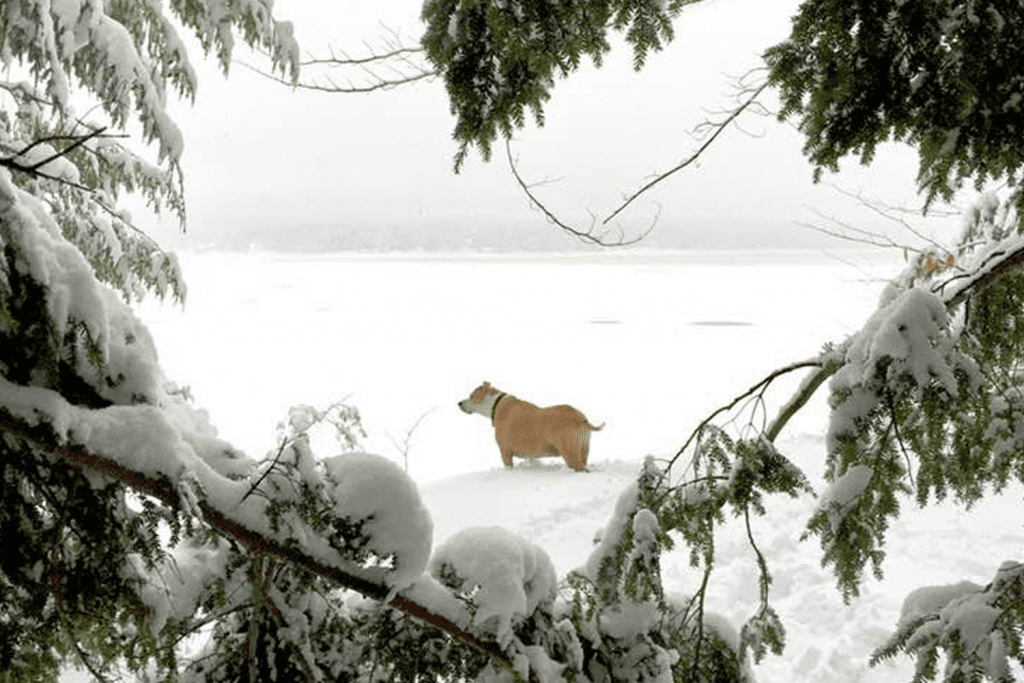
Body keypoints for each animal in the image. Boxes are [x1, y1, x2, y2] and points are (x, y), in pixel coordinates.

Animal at [456, 382, 598, 473]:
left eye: (471, 396)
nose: (459, 403)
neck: (495, 404)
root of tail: (581, 418)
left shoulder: (505, 451)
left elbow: (508, 466)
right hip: (584, 448)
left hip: (570, 452)